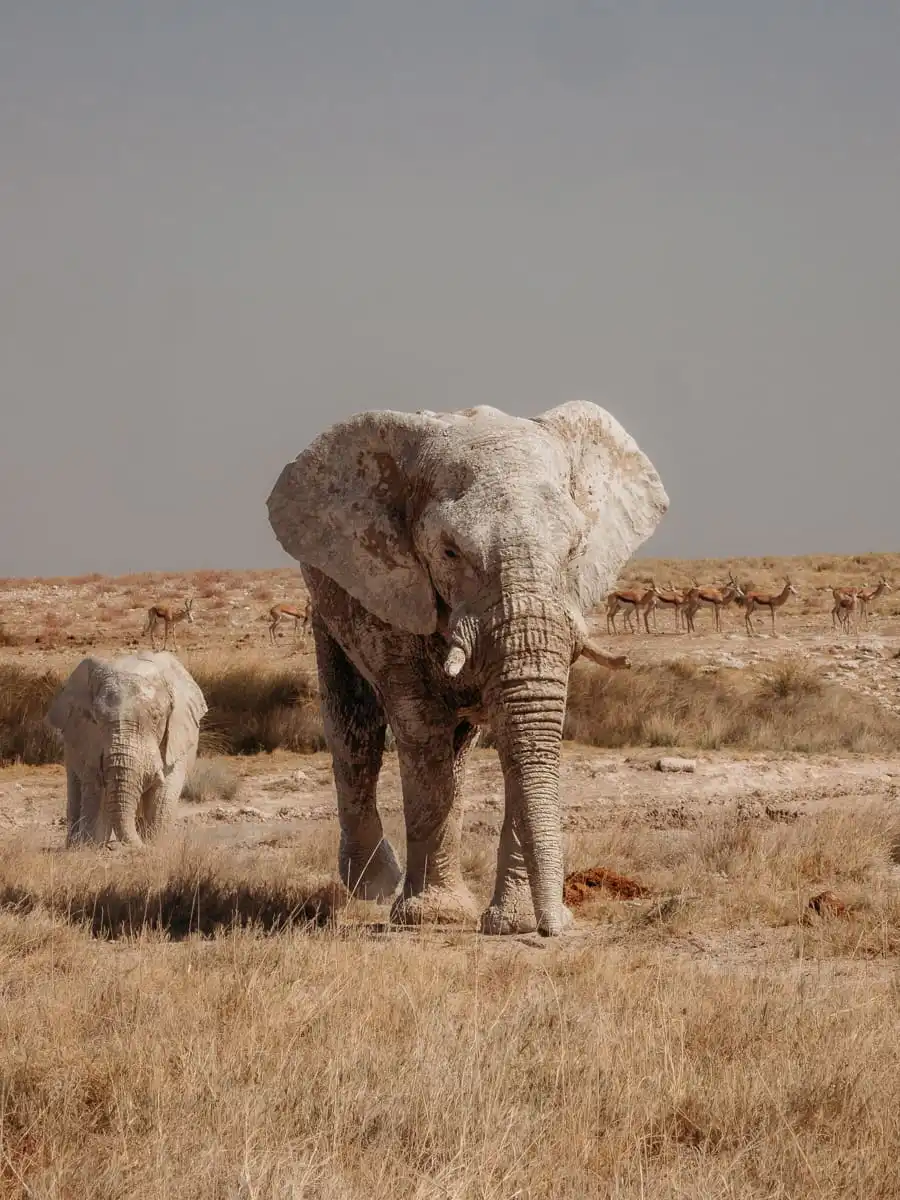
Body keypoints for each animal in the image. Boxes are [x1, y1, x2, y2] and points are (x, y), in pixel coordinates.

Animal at [45, 651, 208, 846]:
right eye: (95, 718)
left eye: (156, 717)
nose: (142, 846)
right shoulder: (89, 741)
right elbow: (95, 792)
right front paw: (89, 847)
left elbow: (164, 792)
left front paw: (157, 846)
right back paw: (74, 845)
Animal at [266, 401, 668, 936]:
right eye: (450, 552)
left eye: (574, 549)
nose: (555, 928)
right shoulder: (392, 589)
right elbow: (421, 725)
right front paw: (433, 918)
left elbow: (526, 732)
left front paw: (512, 924)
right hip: (329, 589)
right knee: (354, 729)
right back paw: (374, 888)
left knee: (458, 743)